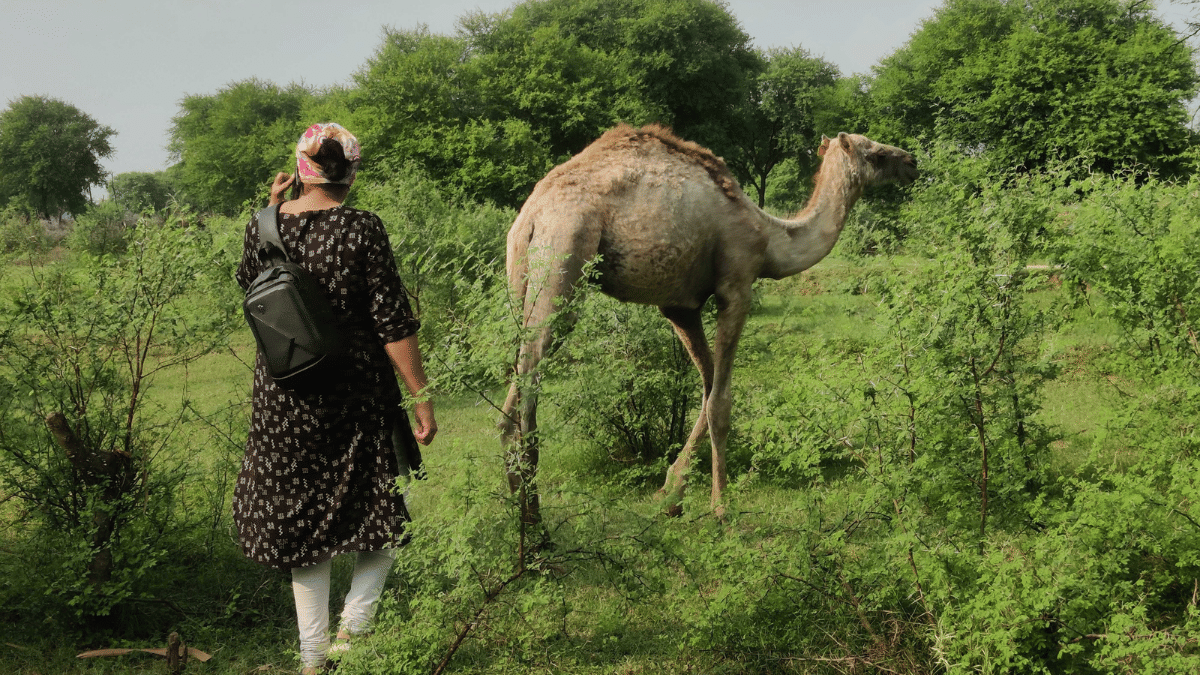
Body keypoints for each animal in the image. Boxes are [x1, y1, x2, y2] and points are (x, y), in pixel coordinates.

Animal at [499, 123, 917, 522]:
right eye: (877, 154)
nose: (912, 161)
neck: (770, 239)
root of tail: (531, 218)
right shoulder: (736, 286)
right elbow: (721, 401)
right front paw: (720, 508)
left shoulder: (679, 307)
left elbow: (707, 388)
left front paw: (671, 495)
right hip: (564, 256)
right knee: (530, 387)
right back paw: (537, 527)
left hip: (521, 275)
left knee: (512, 395)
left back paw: (521, 514)